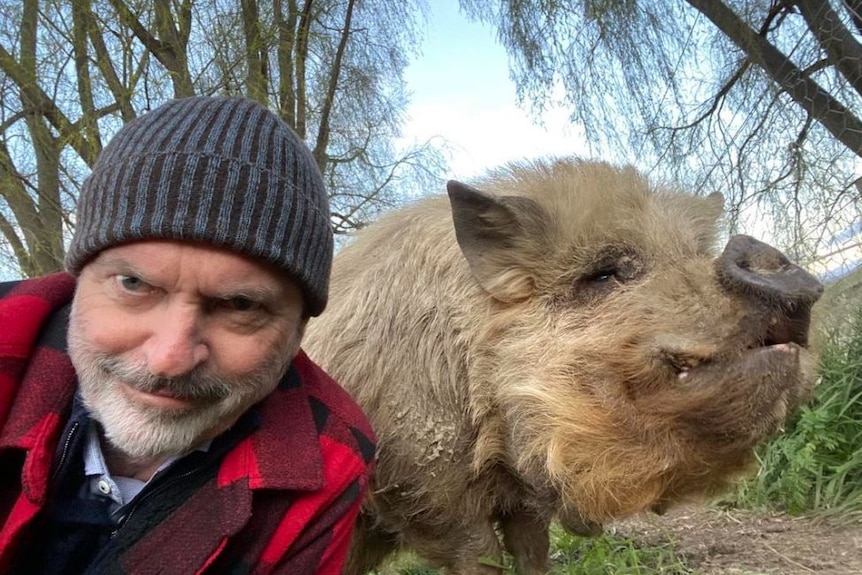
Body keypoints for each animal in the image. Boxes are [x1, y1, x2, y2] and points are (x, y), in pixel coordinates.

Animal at [302, 158, 823, 575]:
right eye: (605, 274)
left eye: (693, 254)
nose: (759, 251)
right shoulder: (422, 486)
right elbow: (481, 555)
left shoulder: (522, 502)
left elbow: (534, 552)